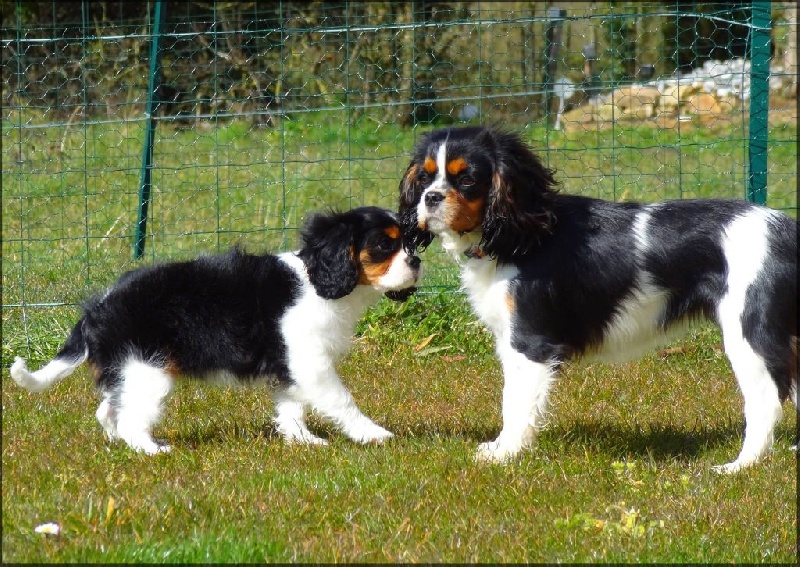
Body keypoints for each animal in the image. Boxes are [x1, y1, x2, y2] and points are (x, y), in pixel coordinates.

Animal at [12, 206, 422, 454]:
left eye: (408, 242)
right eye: (383, 245)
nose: (417, 262)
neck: (316, 278)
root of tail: (97, 308)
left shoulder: (289, 366)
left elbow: (291, 405)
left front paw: (301, 440)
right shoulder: (310, 363)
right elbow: (341, 400)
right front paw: (372, 434)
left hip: (126, 371)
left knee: (108, 409)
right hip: (147, 370)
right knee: (129, 417)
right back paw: (151, 450)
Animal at [400, 126, 800, 472]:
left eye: (467, 179)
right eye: (425, 178)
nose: (430, 198)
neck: (520, 234)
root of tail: (788, 229)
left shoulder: (530, 344)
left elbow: (516, 404)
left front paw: (507, 453)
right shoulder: (510, 342)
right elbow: (509, 398)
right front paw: (499, 448)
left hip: (749, 336)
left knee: (766, 401)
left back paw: (740, 466)